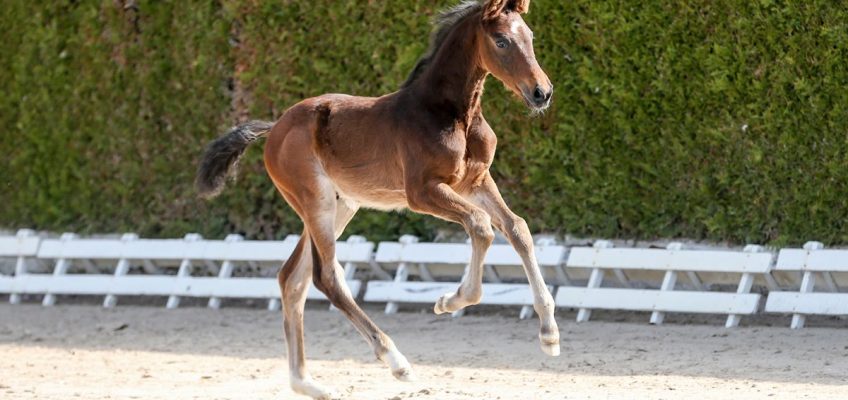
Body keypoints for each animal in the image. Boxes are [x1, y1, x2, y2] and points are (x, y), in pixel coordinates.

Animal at [195, 1, 560, 398]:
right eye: (502, 41)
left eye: (530, 36)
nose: (541, 93)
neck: (451, 113)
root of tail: (275, 128)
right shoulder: (422, 192)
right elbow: (480, 226)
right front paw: (450, 301)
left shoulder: (475, 182)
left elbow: (517, 228)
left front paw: (549, 334)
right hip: (317, 203)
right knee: (326, 277)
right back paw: (395, 361)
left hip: (340, 205)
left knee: (293, 278)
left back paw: (307, 383)